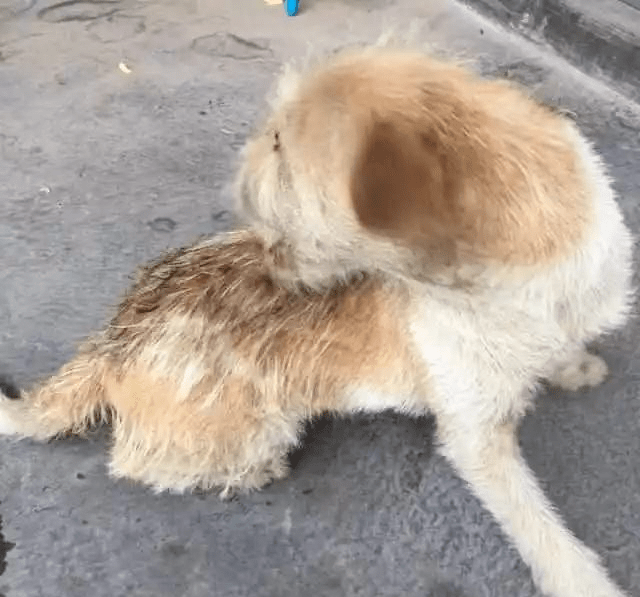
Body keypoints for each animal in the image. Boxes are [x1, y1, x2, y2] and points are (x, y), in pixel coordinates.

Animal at [1, 47, 636, 596]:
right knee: (135, 460)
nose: (238, 171)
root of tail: (111, 341)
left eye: (282, 145)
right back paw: (248, 470)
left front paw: (575, 366)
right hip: (253, 424)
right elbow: (540, 528)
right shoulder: (477, 436)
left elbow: (562, 352)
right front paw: (584, 582)